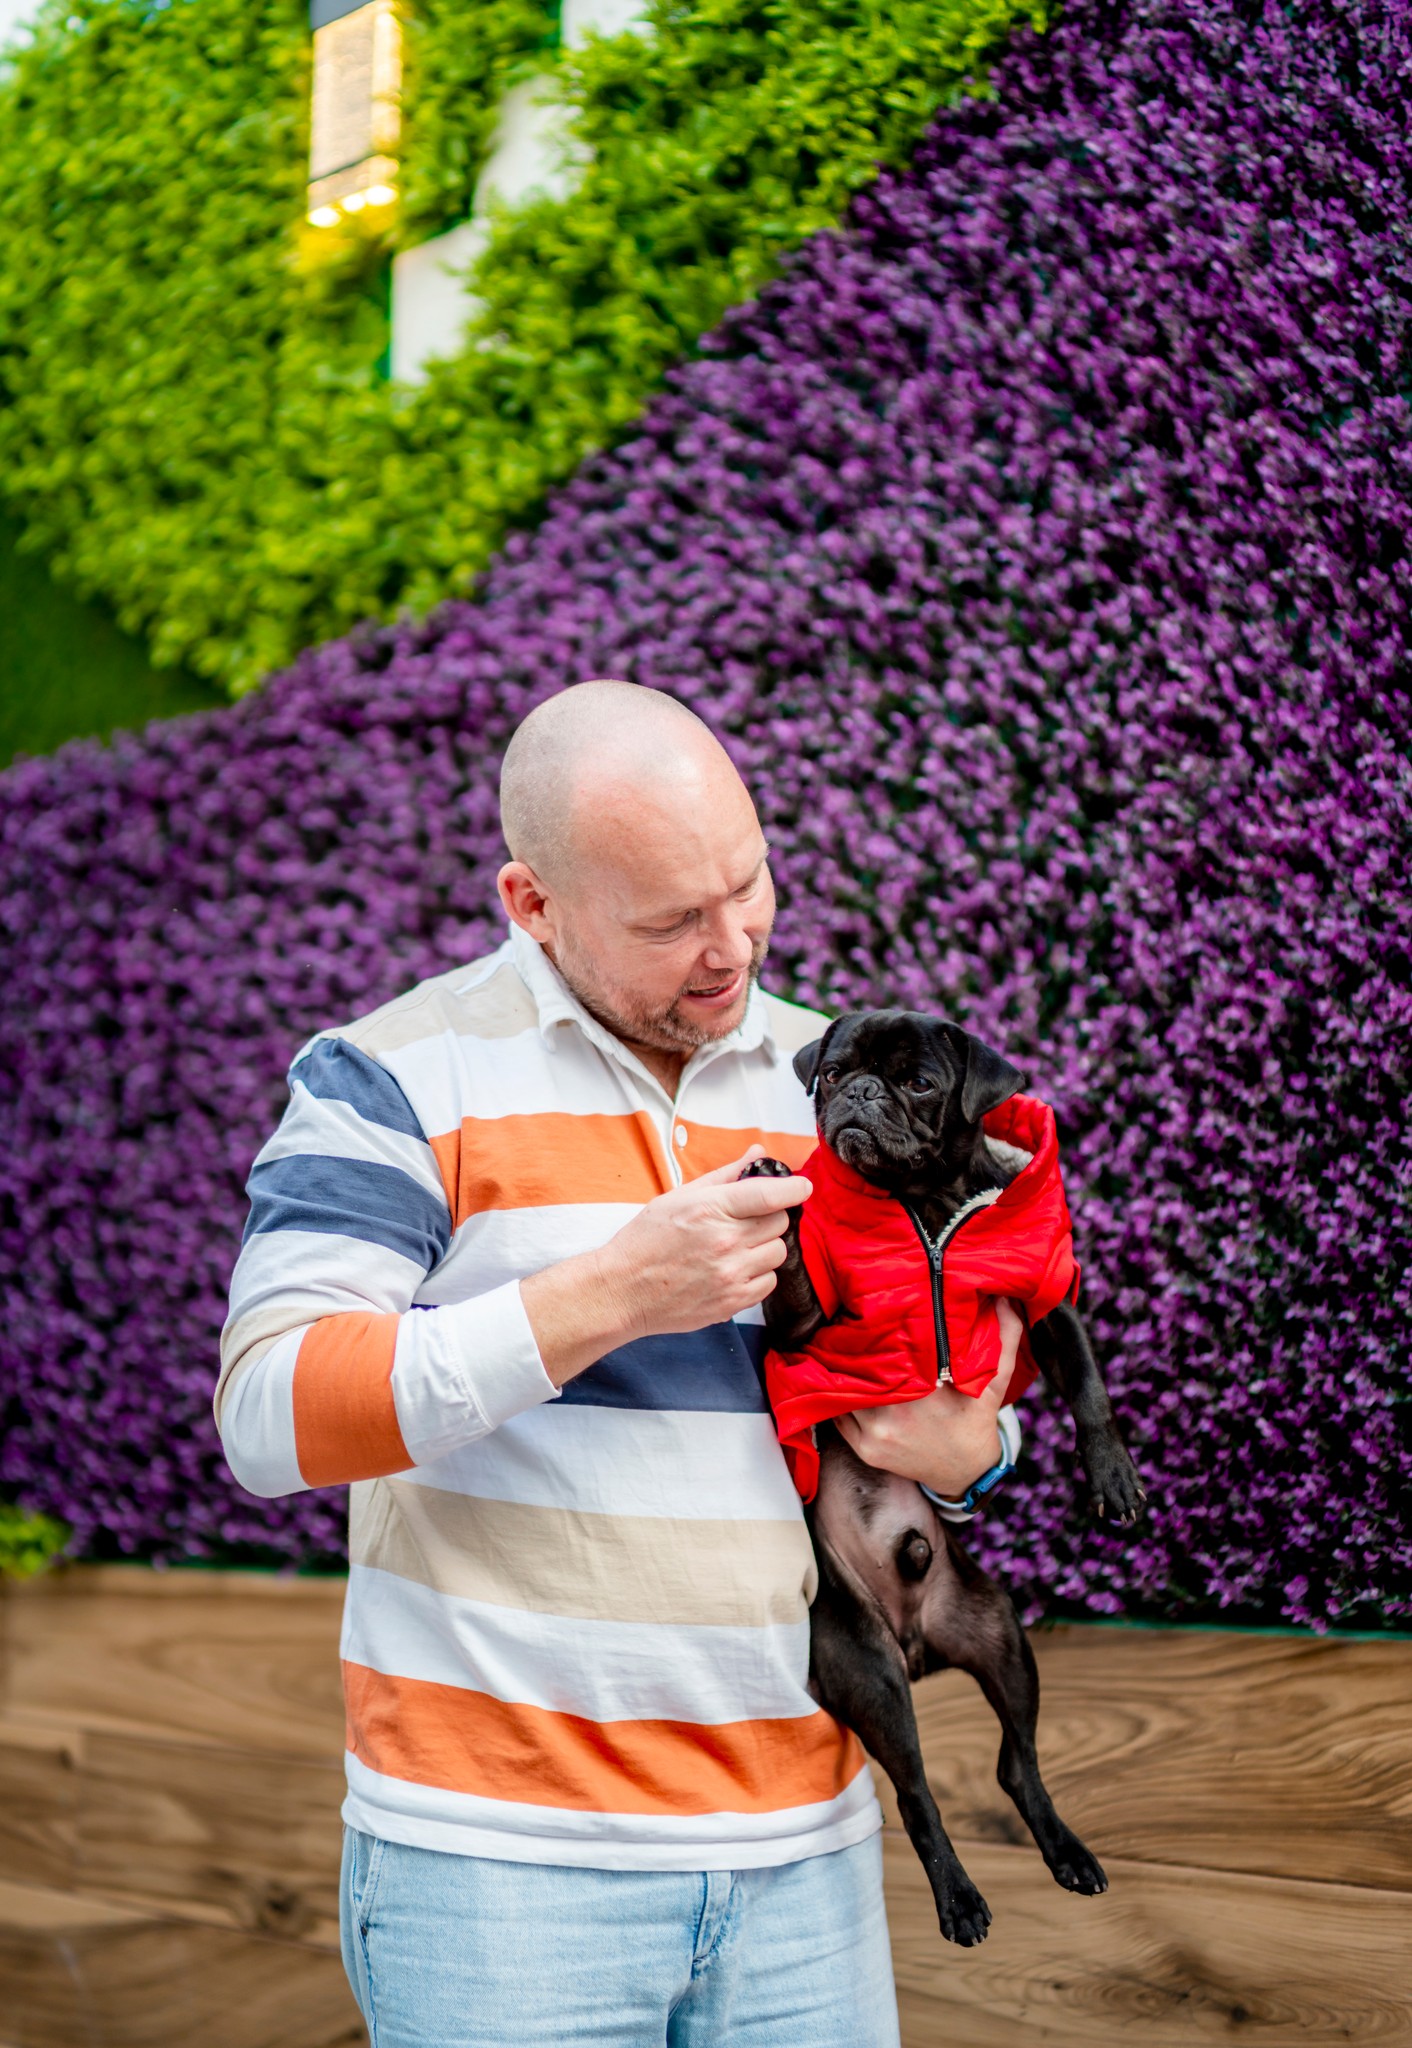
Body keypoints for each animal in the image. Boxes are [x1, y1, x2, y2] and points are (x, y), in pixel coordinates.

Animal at [743, 1008, 1145, 1945]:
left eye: (918, 1082)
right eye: (833, 1072)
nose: (856, 1092)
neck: (923, 1206)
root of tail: (918, 1645)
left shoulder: (1051, 1306)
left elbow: (1090, 1390)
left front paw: (1112, 1475)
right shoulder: (804, 1329)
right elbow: (793, 1280)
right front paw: (780, 1209)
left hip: (1000, 1633)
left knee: (1017, 1763)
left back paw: (1067, 1853)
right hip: (870, 1672)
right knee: (920, 1794)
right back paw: (960, 1898)